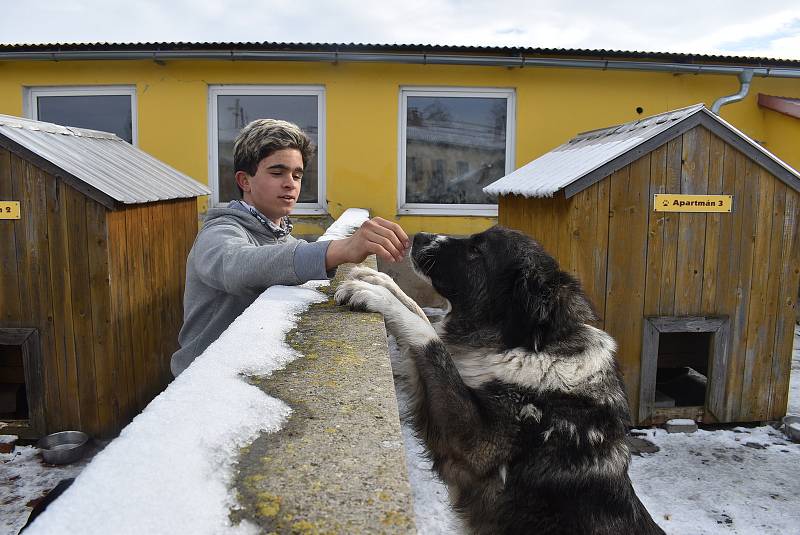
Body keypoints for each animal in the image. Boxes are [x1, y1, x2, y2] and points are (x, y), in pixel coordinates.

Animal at [336, 226, 664, 535]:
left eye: (476, 250)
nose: (419, 237)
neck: (526, 345)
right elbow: (422, 316)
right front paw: (379, 281)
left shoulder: (473, 443)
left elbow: (429, 339)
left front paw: (377, 296)